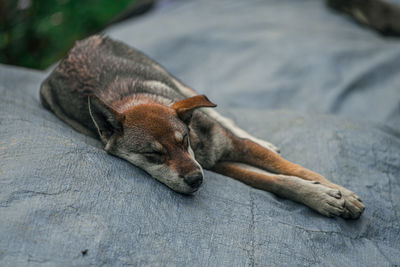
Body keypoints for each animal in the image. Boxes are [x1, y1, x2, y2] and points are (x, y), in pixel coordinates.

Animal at [39, 35, 366, 220]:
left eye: (183, 141)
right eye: (153, 155)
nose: (196, 180)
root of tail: (71, 51)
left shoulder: (234, 147)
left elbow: (297, 170)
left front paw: (339, 193)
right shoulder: (223, 165)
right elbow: (277, 182)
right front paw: (321, 197)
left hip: (176, 80)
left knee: (222, 116)